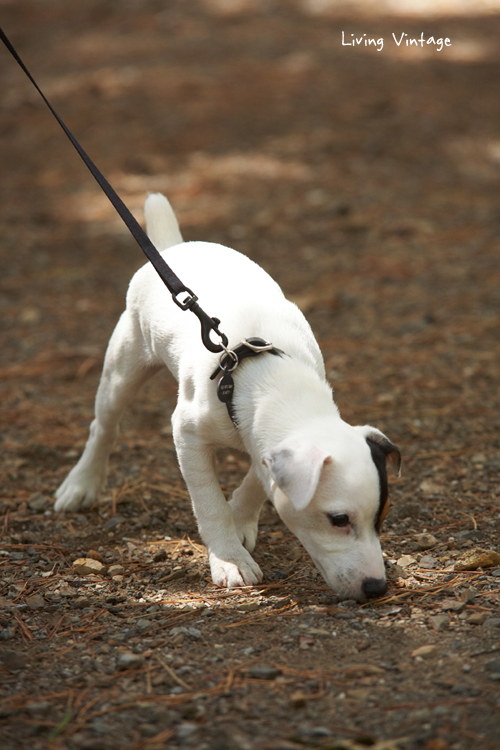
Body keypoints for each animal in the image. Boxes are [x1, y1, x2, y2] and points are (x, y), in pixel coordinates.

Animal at [54, 195, 400, 604]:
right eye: (339, 520)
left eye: (382, 517)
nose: (377, 588)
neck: (268, 377)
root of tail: (173, 247)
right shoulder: (187, 435)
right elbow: (209, 503)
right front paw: (229, 558)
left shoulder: (260, 439)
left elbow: (256, 481)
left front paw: (241, 520)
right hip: (122, 368)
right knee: (103, 427)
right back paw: (81, 483)